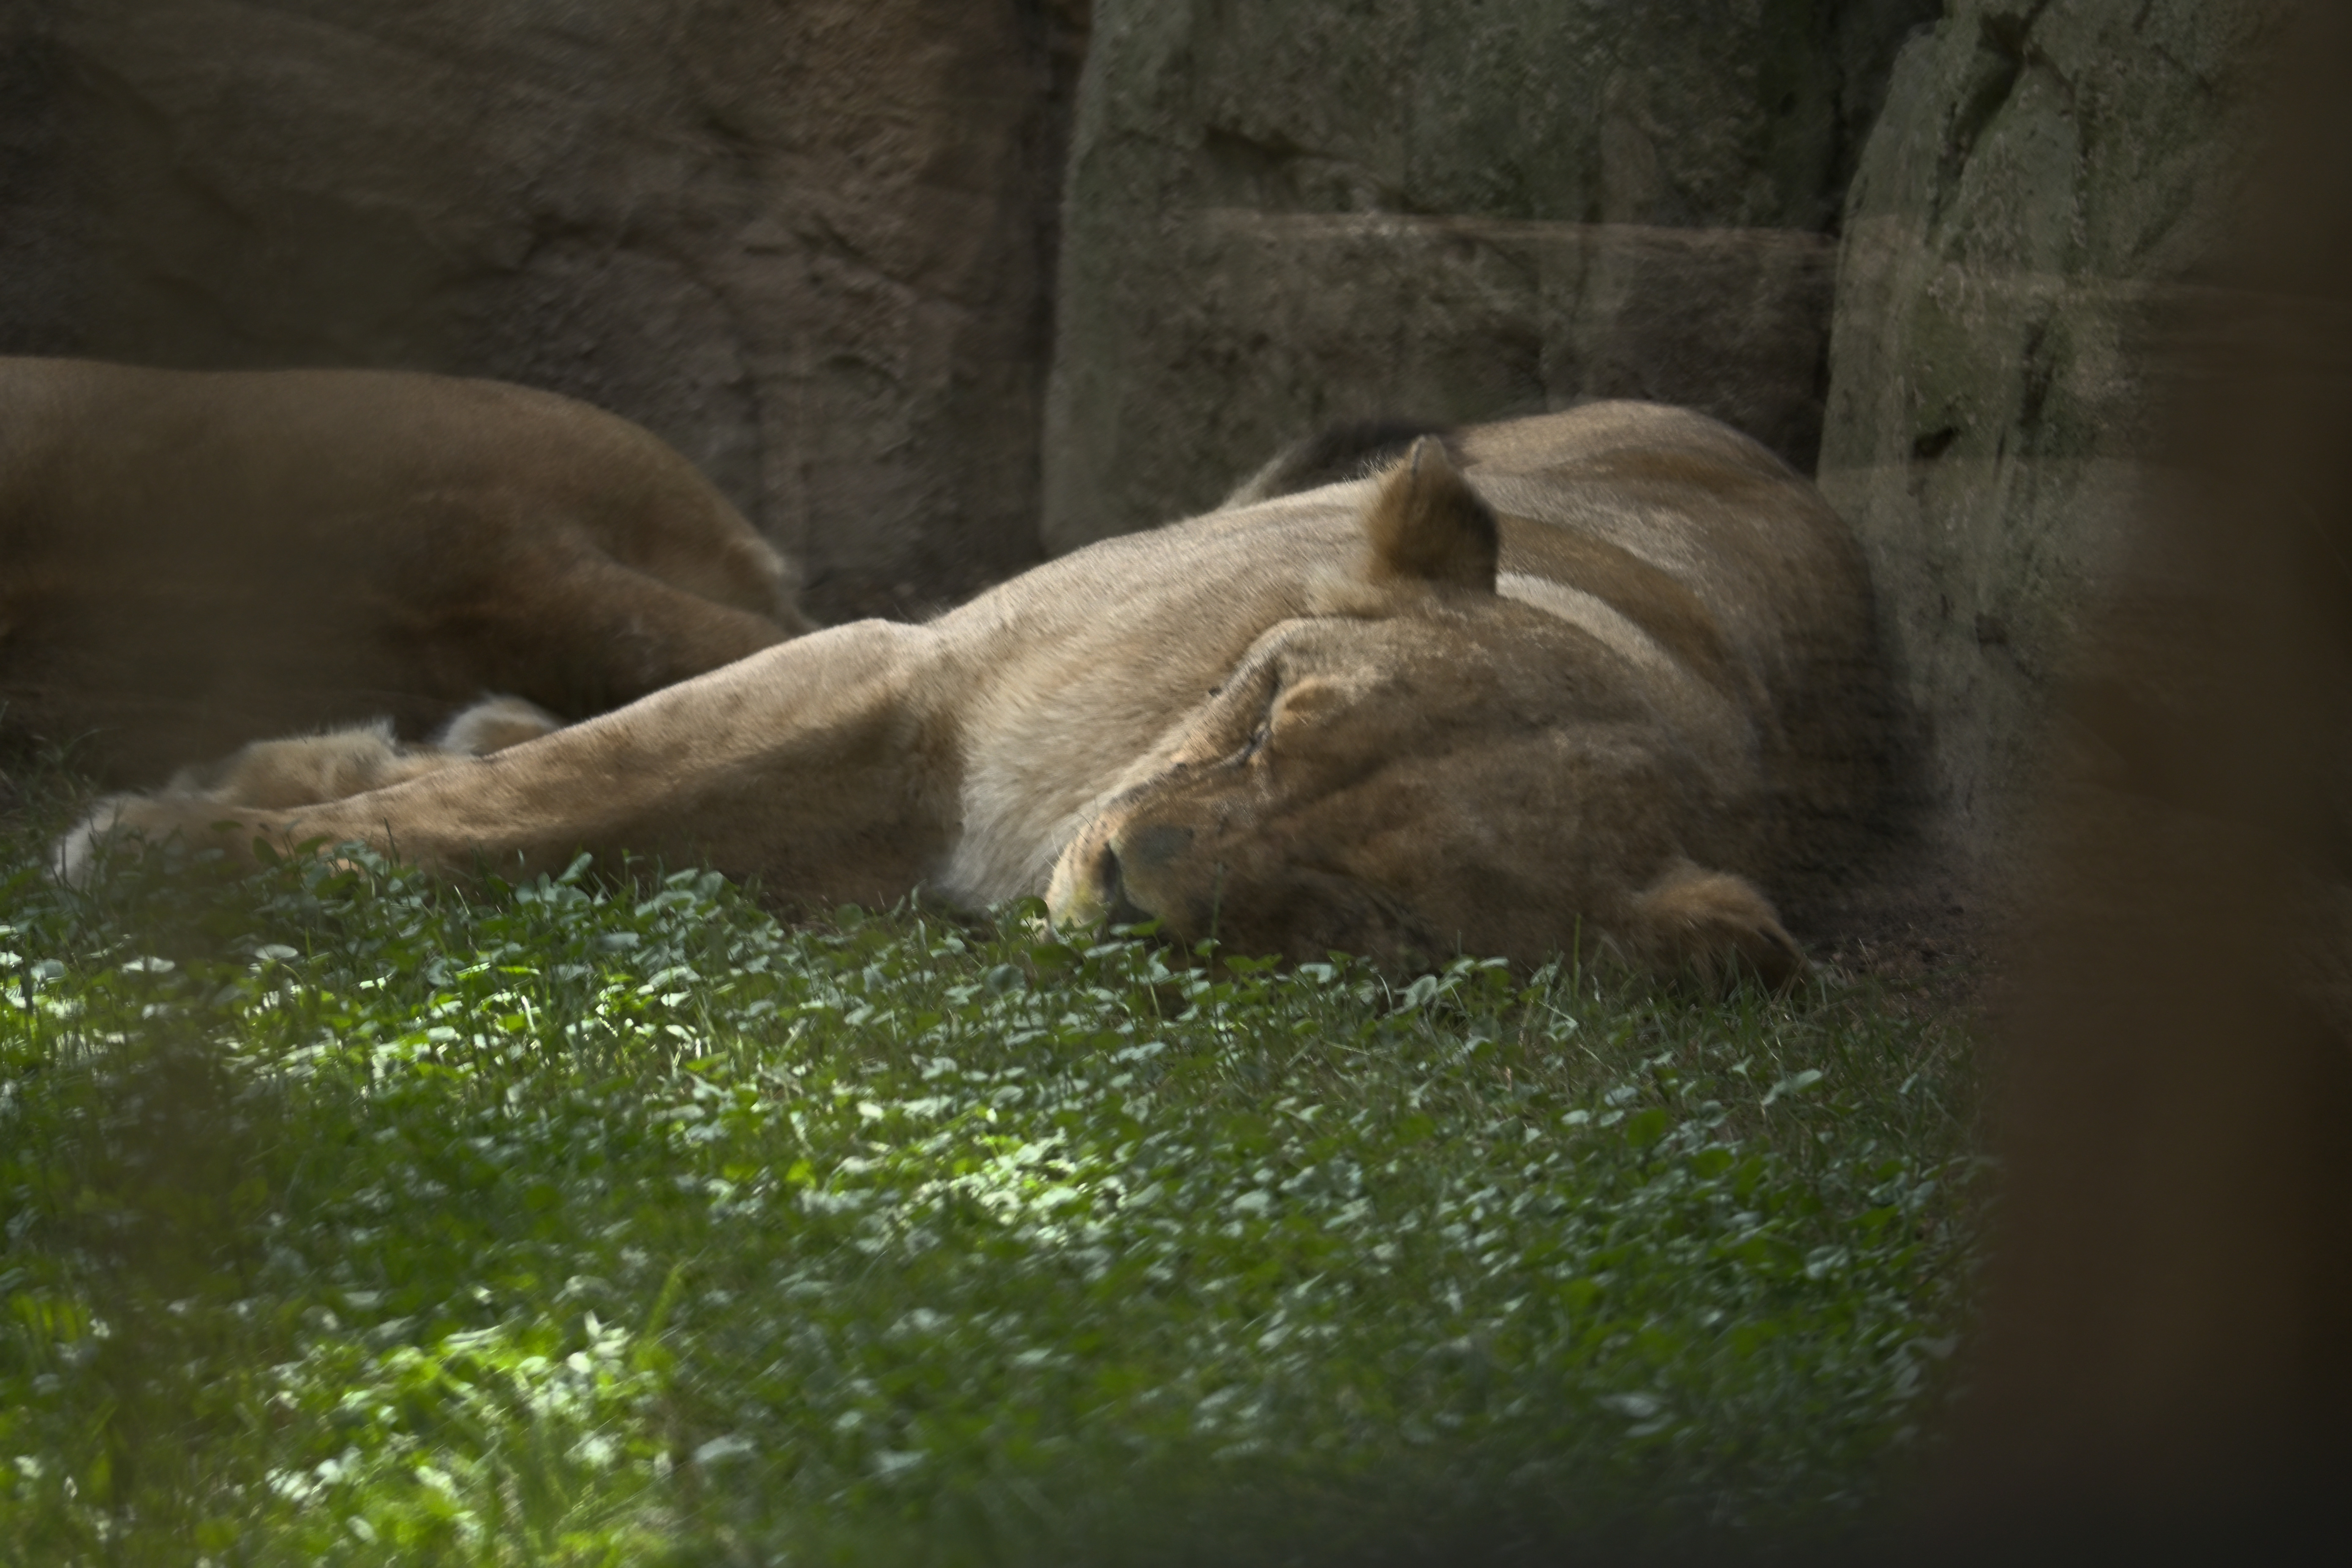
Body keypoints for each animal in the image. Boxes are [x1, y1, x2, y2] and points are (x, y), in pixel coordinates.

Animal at [60, 401, 1888, 984]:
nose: (1131, 884)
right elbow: (530, 796)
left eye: (1368, 919)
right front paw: (173, 851)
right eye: (1269, 716)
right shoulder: (906, 670)